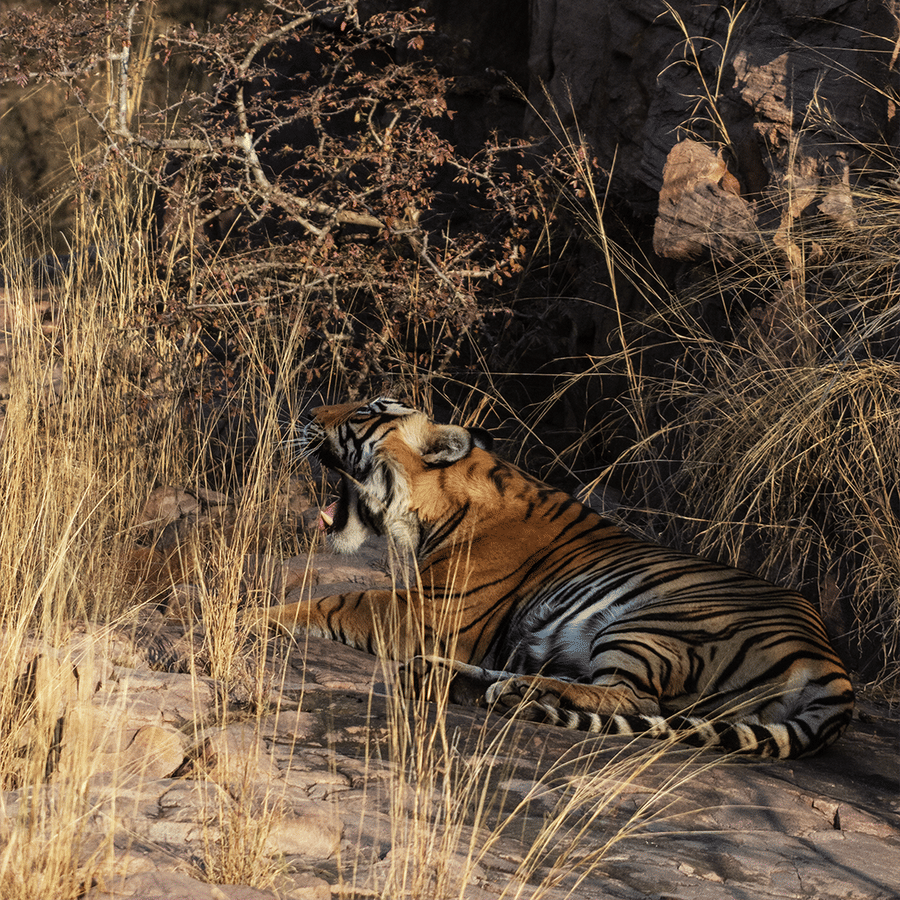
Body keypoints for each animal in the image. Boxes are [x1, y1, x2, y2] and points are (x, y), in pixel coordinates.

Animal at [253, 397, 854, 758]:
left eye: (364, 413)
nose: (307, 410)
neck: (432, 503)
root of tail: (832, 664)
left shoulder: (433, 609)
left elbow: (339, 600)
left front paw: (257, 615)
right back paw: (446, 678)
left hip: (656, 623)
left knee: (634, 701)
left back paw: (512, 690)